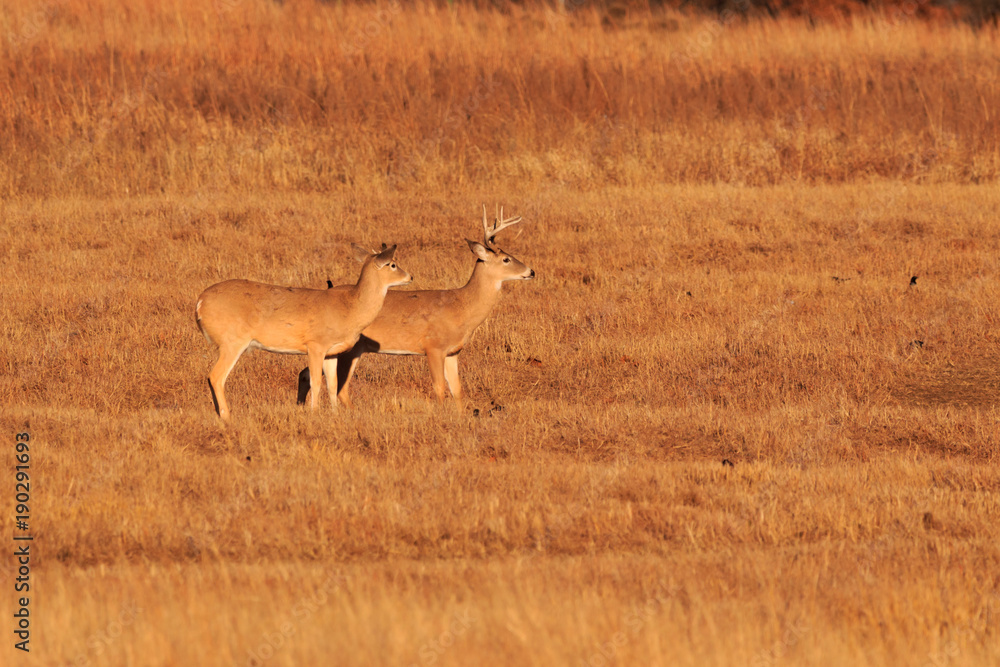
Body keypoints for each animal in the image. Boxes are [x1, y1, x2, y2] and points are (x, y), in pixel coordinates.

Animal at [195, 244, 412, 421]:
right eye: (393, 264)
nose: (411, 276)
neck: (350, 308)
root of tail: (200, 303)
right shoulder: (315, 345)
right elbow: (315, 381)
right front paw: (315, 412)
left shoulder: (331, 351)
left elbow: (332, 384)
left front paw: (335, 414)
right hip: (232, 341)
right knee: (216, 376)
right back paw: (227, 417)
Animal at [296, 206, 534, 408]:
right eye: (506, 259)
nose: (531, 271)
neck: (461, 306)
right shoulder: (433, 346)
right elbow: (440, 389)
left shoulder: (453, 351)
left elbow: (457, 390)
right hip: (349, 349)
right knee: (339, 387)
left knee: (307, 374)